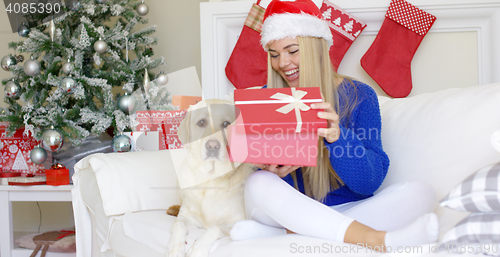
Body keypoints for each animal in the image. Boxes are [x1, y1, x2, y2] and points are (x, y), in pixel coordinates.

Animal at [169, 99, 258, 256]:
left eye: (226, 124)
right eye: (201, 122)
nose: (212, 146)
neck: (210, 178)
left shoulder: (237, 221)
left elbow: (215, 228)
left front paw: (198, 248)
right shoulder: (185, 217)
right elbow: (178, 225)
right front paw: (175, 249)